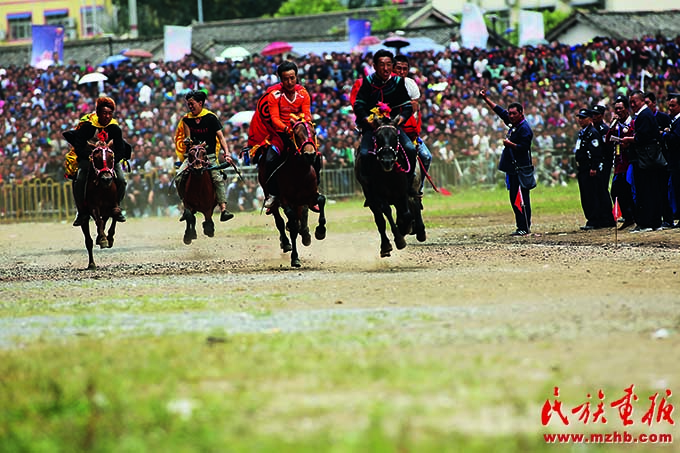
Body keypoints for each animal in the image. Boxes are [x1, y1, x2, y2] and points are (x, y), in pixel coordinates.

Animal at [80, 136, 119, 266]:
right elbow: (98, 220)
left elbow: (116, 213)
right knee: (88, 239)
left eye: (111, 157)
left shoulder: (114, 203)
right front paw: (102, 239)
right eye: (96, 158)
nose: (106, 179)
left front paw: (110, 238)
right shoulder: (93, 205)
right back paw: (91, 263)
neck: (103, 189)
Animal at [258, 115, 326, 266]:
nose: (310, 155)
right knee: (280, 221)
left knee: (301, 216)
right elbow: (292, 225)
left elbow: (321, 200)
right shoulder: (286, 200)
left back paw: (305, 235)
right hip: (270, 195)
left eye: (314, 132)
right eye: (296, 134)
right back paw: (286, 242)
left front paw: (320, 231)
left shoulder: (310, 196)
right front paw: (295, 257)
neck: (299, 172)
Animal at [356, 116, 424, 258]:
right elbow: (386, 212)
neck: (389, 175)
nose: (387, 161)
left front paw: (406, 228)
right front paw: (399, 240)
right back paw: (386, 246)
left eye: (395, 136)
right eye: (377, 137)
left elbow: (407, 213)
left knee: (413, 204)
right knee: (380, 221)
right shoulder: (378, 195)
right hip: (372, 200)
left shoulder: (403, 192)